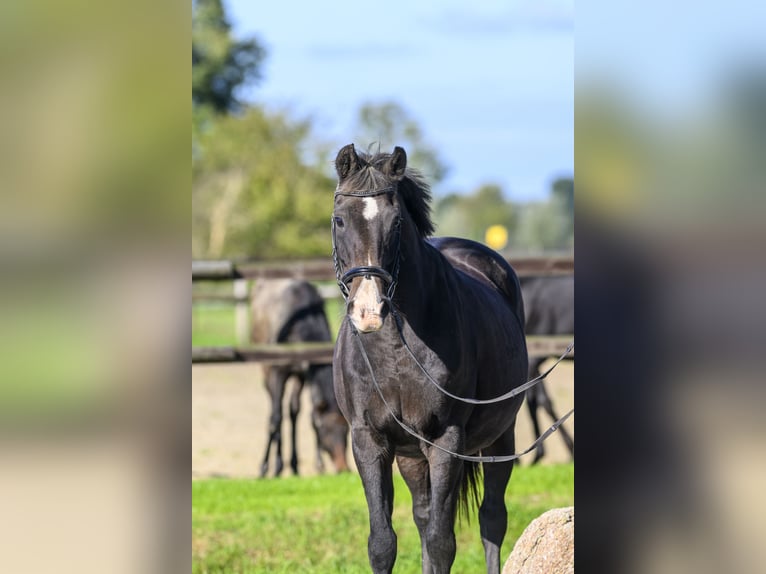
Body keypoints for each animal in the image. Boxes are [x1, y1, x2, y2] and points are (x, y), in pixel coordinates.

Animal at [250, 282, 350, 480]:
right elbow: (276, 418)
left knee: (291, 410)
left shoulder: (303, 375)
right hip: (266, 370)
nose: (343, 468)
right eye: (326, 430)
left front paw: (315, 465)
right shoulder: (278, 371)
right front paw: (267, 467)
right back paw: (274, 466)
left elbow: (301, 413)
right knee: (274, 410)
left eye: (346, 430)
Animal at [332, 145, 532, 574]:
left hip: (500, 437)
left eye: (396, 222)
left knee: (492, 518)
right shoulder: (368, 440)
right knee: (424, 518)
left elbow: (443, 542)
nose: (368, 311)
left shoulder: (446, 441)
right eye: (339, 219)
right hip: (412, 456)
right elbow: (384, 542)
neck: (395, 349)